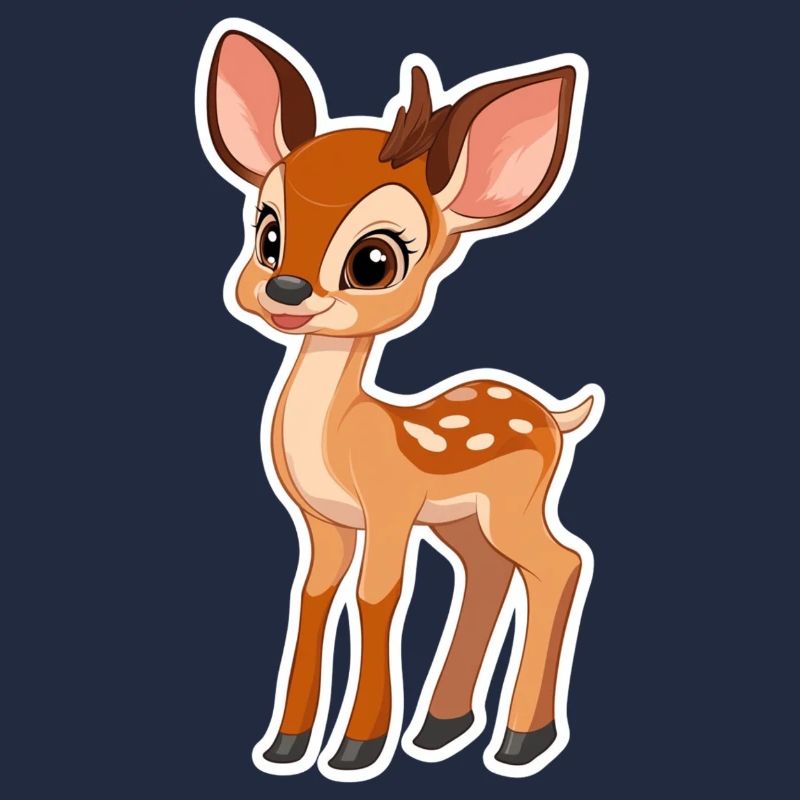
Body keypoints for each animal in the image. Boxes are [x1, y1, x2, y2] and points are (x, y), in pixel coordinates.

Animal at [196, 20, 602, 781]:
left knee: (560, 562)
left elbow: (377, 597)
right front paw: (286, 744)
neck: (339, 434)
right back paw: (442, 729)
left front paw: (356, 749)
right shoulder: (323, 523)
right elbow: (314, 598)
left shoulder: (388, 509)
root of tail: (552, 415)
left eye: (375, 260)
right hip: (463, 520)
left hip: (513, 503)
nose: (287, 291)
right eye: (268, 232)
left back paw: (520, 739)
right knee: (489, 570)